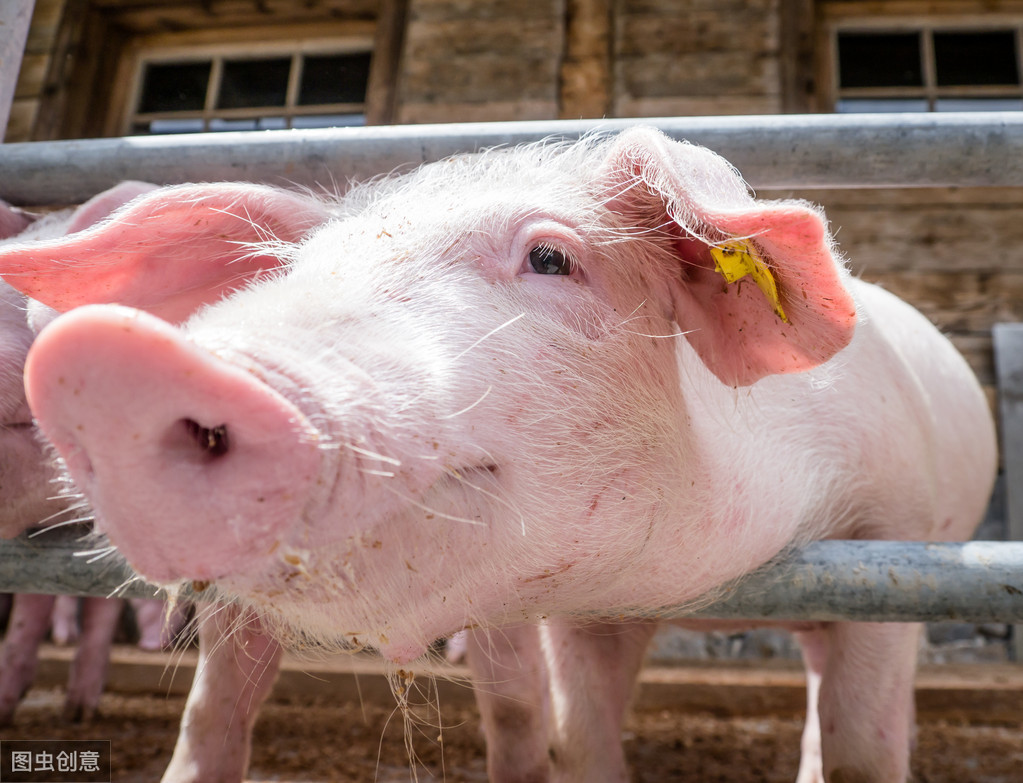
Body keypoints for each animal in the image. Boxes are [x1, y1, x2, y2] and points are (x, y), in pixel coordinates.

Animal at [0, 129, 994, 781]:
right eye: (289, 271)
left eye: (552, 258)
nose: (108, 357)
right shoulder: (584, 612)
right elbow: (572, 736)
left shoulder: (893, 543)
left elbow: (864, 746)